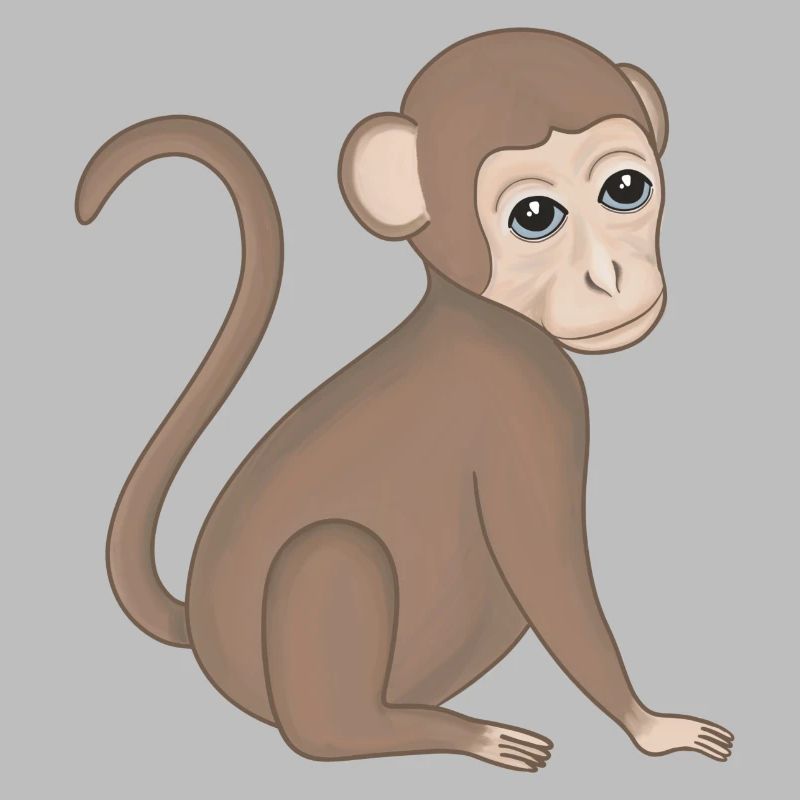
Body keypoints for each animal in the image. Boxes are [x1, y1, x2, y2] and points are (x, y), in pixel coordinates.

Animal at [76, 29, 734, 773]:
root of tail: (199, 624)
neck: (480, 315)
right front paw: (651, 726)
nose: (609, 276)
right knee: (331, 591)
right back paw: (457, 733)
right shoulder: (525, 409)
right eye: (535, 216)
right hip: (313, 620)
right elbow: (549, 575)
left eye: (626, 188)